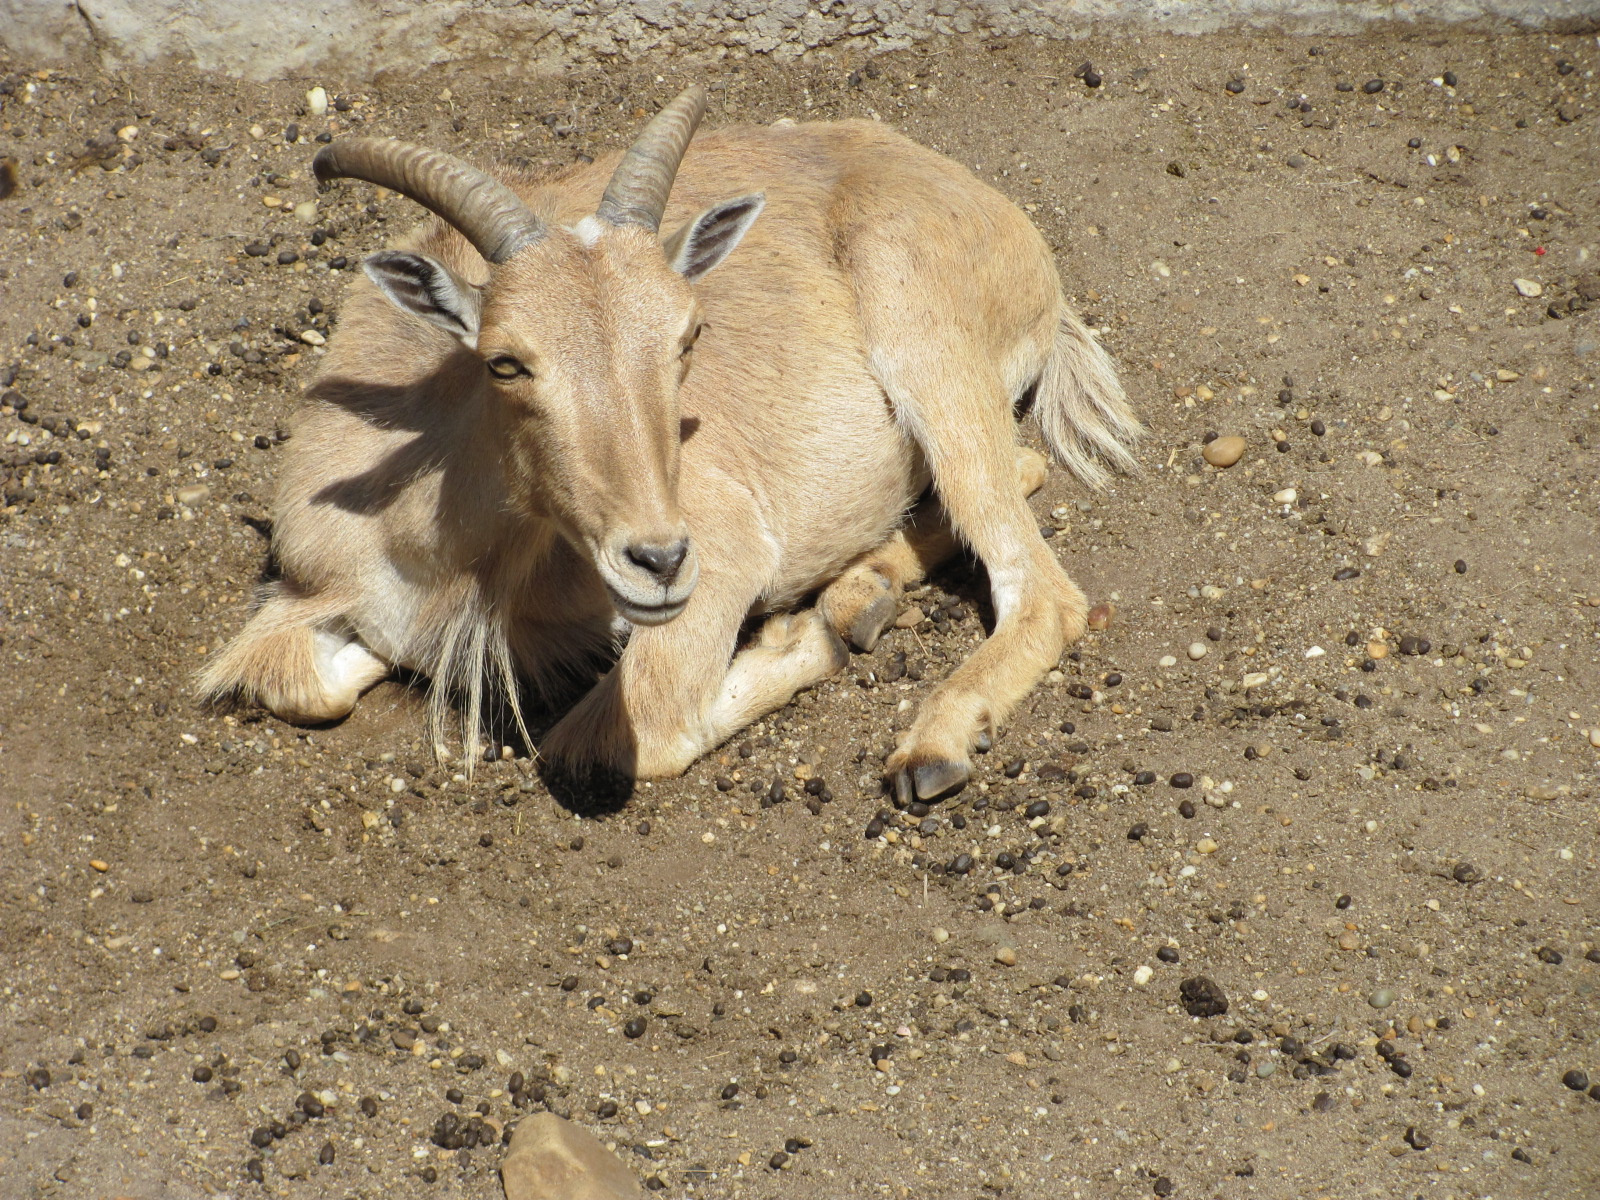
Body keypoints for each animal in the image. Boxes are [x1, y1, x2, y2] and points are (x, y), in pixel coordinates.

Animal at [200, 89, 1145, 803]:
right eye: (505, 360)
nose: (657, 560)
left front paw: (804, 639)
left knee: (1040, 579)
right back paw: (863, 593)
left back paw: (928, 743)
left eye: (688, 336)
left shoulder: (723, 547)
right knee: (1019, 472)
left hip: (924, 336)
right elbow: (296, 684)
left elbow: (621, 734)